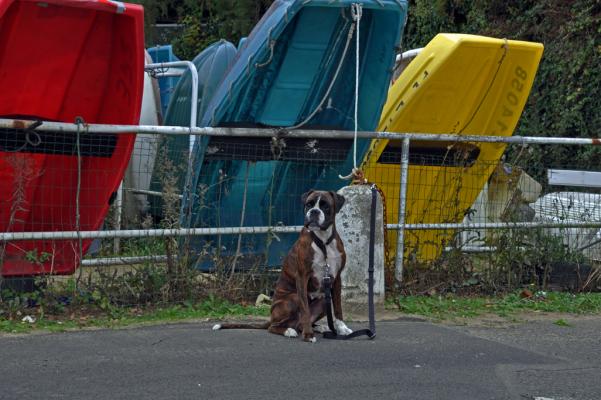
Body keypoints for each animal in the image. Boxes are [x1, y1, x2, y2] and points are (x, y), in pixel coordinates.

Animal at [212, 189, 352, 342]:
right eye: (309, 204)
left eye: (325, 206)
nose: (314, 211)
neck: (323, 241)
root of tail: (271, 317)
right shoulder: (302, 277)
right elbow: (305, 310)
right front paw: (308, 335)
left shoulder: (336, 278)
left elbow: (338, 307)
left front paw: (342, 328)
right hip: (293, 298)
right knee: (276, 326)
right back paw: (289, 331)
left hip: (322, 301)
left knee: (300, 323)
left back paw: (319, 327)